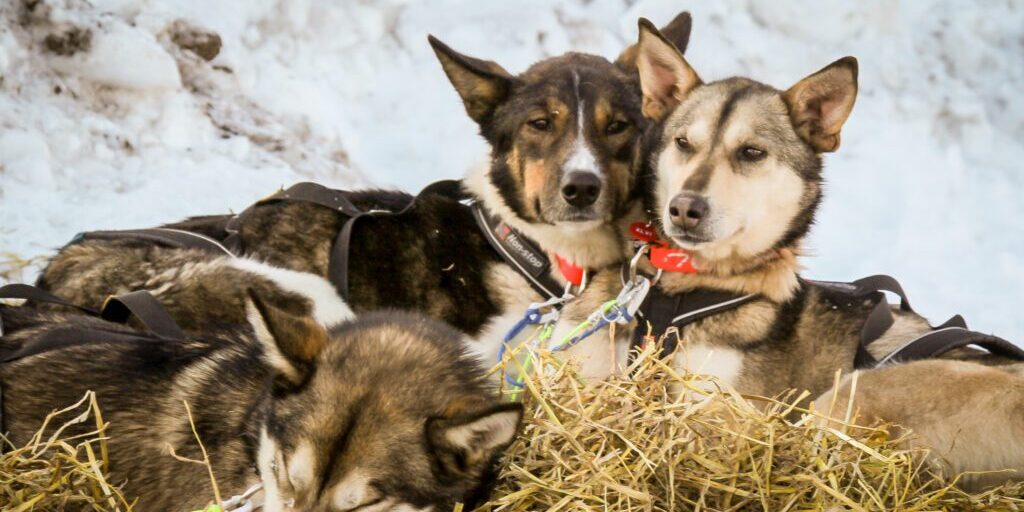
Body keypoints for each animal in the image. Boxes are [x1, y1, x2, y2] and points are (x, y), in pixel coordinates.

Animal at [36, 12, 692, 364]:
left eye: (618, 125)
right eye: (539, 124)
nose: (581, 188)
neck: (529, 252)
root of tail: (51, 277)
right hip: (296, 290)